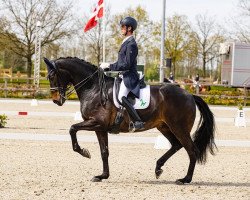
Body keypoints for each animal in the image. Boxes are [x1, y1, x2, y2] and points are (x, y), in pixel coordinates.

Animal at [44, 56, 216, 184]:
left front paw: (84, 152)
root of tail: (189, 95)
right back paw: (158, 168)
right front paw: (102, 176)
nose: (56, 100)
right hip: (164, 126)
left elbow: (72, 128)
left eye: (52, 76)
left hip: (179, 127)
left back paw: (185, 179)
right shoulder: (100, 128)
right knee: (176, 145)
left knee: (191, 150)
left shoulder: (97, 123)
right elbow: (104, 152)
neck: (93, 89)